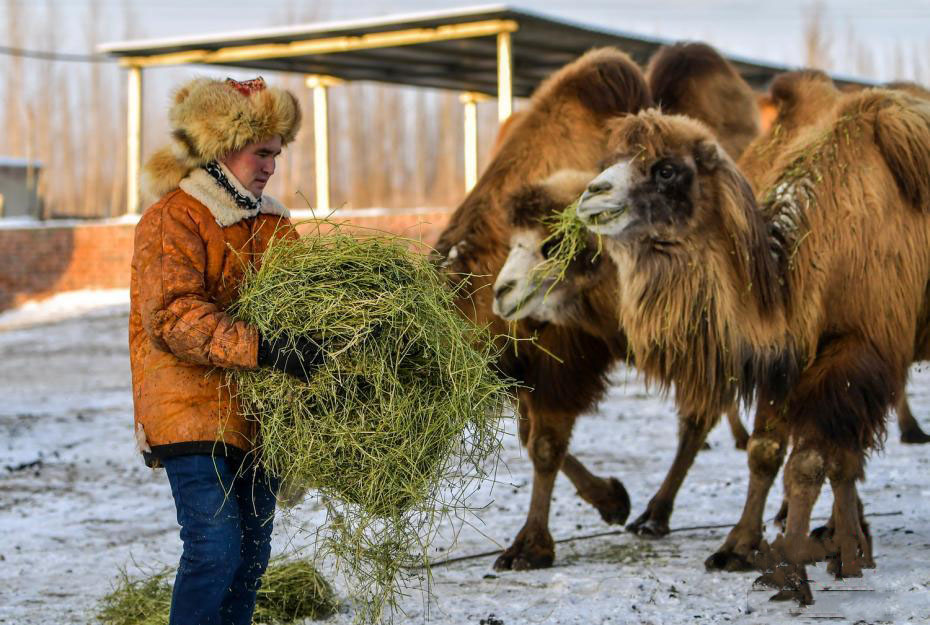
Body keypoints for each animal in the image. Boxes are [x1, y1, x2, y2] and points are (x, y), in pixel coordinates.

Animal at [432, 46, 648, 568]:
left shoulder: (563, 355)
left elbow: (545, 445)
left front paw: (529, 547)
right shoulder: (522, 365)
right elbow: (535, 438)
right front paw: (613, 500)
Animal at [576, 90, 928, 604]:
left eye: (666, 169)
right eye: (610, 160)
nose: (592, 195)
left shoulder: (861, 349)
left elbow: (811, 462)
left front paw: (794, 571)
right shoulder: (791, 359)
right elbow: (770, 452)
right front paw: (740, 548)